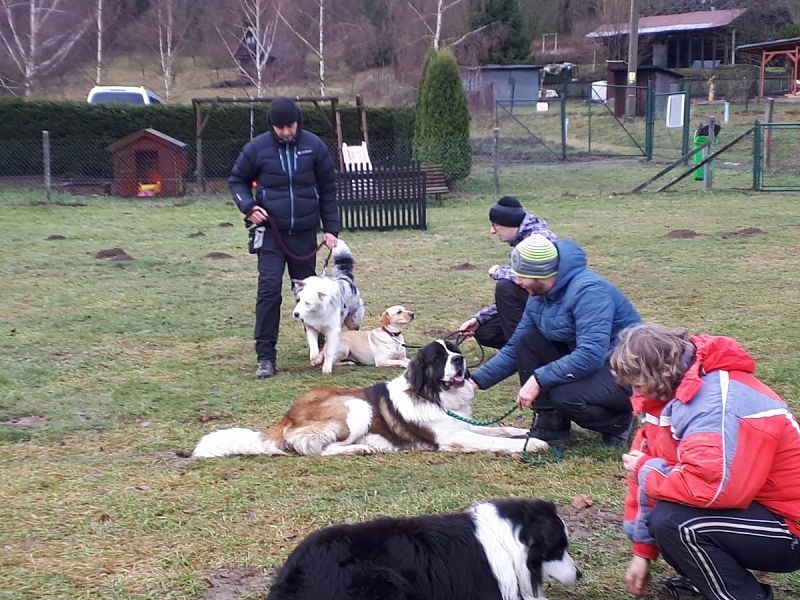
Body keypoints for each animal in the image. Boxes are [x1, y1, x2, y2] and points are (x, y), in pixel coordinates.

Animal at [192, 340, 552, 458]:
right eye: (439, 358)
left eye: (455, 350)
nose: (460, 361)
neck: (433, 395)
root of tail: (285, 416)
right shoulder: (455, 438)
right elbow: (494, 440)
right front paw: (533, 444)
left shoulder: (464, 425)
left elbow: (499, 430)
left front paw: (525, 432)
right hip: (357, 407)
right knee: (314, 449)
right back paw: (358, 449)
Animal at [290, 240, 366, 372]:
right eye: (297, 300)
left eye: (307, 302)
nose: (296, 314)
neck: (316, 311)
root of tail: (345, 278)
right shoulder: (310, 326)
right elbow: (313, 344)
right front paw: (314, 356)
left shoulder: (333, 331)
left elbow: (330, 351)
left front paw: (326, 367)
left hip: (353, 322)